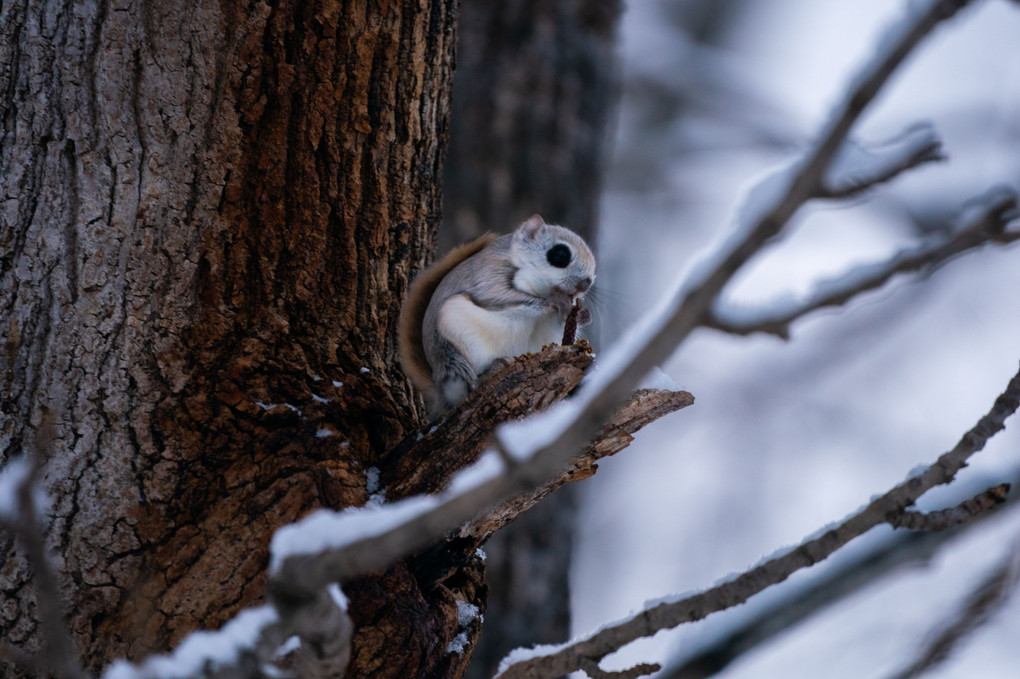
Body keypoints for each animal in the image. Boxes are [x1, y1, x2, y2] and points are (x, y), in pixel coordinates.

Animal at [393, 214, 595, 415]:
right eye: (560, 254)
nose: (585, 284)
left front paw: (582, 314)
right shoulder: (488, 277)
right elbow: (501, 296)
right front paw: (553, 301)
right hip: (458, 336)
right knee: (470, 385)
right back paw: (493, 368)